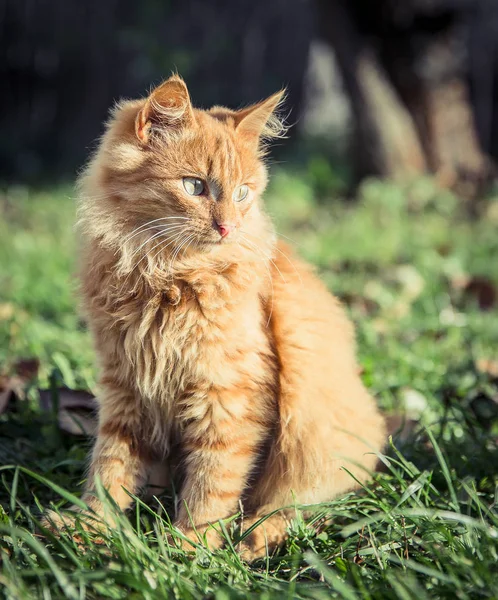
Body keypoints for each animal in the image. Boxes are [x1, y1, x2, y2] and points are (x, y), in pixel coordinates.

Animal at [43, 76, 386, 564]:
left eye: (243, 193)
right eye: (195, 186)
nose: (228, 228)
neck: (165, 276)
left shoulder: (229, 395)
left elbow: (213, 482)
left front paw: (190, 548)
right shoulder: (125, 388)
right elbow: (110, 469)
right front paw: (91, 528)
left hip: (316, 443)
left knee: (299, 508)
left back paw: (253, 540)